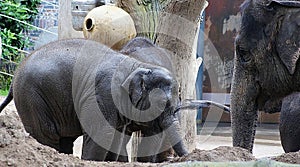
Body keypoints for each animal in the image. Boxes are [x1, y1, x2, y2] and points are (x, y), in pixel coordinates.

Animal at [0, 38, 188, 162]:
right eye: (161, 105)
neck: (136, 65)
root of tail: (16, 74)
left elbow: (116, 136)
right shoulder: (103, 94)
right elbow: (100, 133)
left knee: (64, 139)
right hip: (32, 97)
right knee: (47, 135)